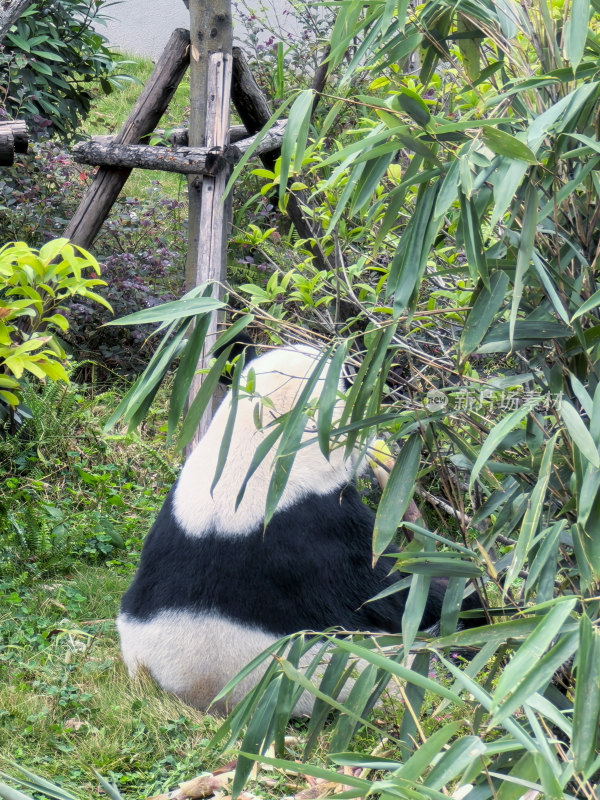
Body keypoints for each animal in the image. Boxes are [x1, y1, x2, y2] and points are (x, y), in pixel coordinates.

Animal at [116, 342, 464, 712]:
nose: (378, 440)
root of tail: (198, 696)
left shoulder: (176, 517)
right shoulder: (323, 531)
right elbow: (396, 590)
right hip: (348, 673)